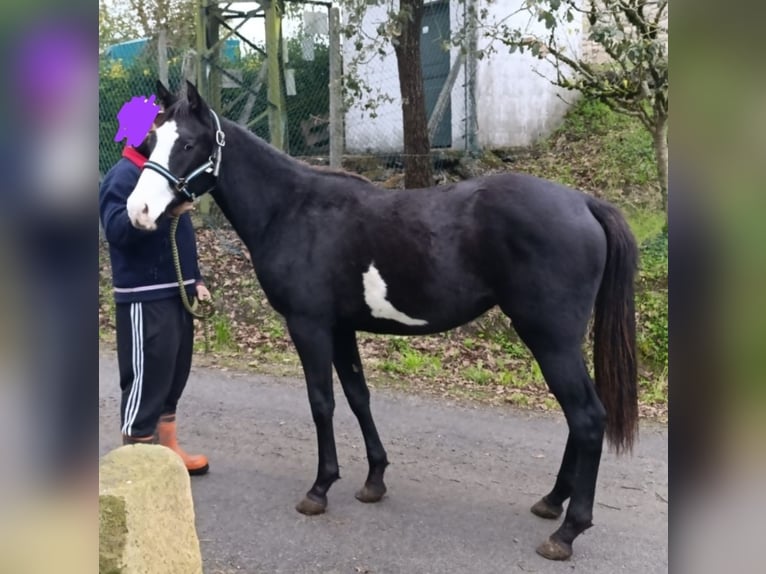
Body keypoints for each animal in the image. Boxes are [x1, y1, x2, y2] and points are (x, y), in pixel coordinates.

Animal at [127, 82, 640, 564]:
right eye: (151, 140)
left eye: (188, 143)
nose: (139, 212)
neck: (293, 210)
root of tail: (583, 202)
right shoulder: (341, 329)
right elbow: (358, 398)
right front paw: (374, 479)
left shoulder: (310, 326)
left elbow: (322, 403)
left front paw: (319, 489)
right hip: (559, 342)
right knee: (579, 417)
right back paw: (552, 501)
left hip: (550, 340)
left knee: (587, 417)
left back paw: (567, 531)